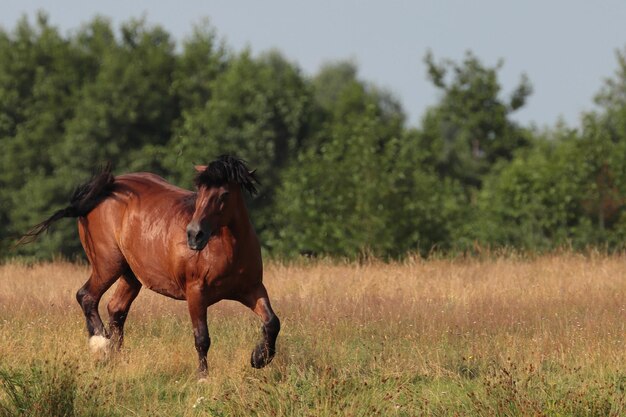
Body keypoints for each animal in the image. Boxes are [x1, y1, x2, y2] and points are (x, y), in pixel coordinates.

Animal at [20, 154, 278, 376]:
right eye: (201, 191)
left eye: (223, 194)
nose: (194, 235)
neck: (227, 248)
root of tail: (106, 190)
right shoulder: (196, 293)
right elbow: (202, 337)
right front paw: (203, 377)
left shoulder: (252, 289)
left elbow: (272, 322)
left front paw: (259, 358)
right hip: (108, 265)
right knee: (87, 296)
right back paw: (101, 345)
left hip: (130, 274)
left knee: (116, 309)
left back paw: (117, 359)